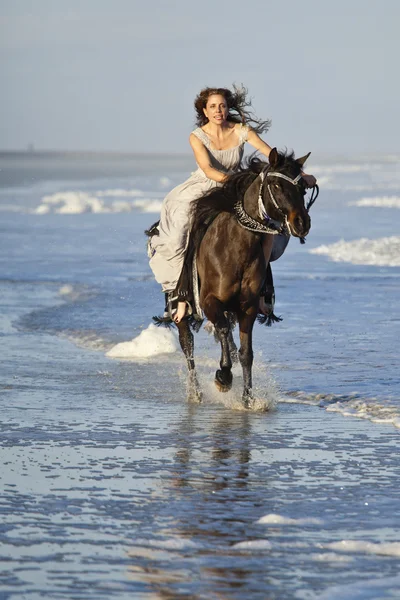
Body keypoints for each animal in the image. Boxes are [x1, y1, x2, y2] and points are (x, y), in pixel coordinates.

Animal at [171, 148, 310, 408]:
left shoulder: (248, 307)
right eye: (276, 185)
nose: (301, 223)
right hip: (181, 309)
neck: (236, 249)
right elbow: (223, 331)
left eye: (303, 187)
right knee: (188, 346)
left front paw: (248, 398)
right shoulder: (209, 301)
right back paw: (195, 393)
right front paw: (223, 378)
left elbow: (247, 353)